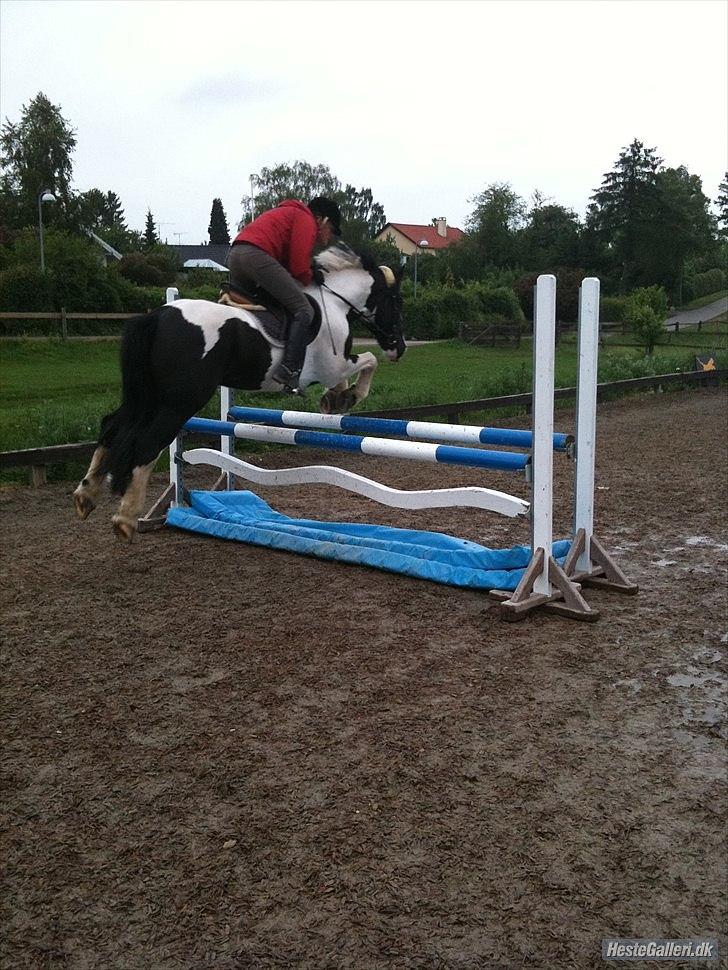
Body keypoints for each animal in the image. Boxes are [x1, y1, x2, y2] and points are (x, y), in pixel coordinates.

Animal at [74, 242, 406, 540]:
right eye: (395, 301)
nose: (399, 348)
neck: (335, 301)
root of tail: (156, 317)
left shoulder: (331, 368)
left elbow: (347, 377)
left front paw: (335, 399)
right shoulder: (333, 365)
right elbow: (369, 360)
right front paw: (350, 395)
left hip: (146, 395)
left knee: (111, 426)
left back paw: (86, 495)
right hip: (179, 402)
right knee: (148, 443)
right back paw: (126, 518)